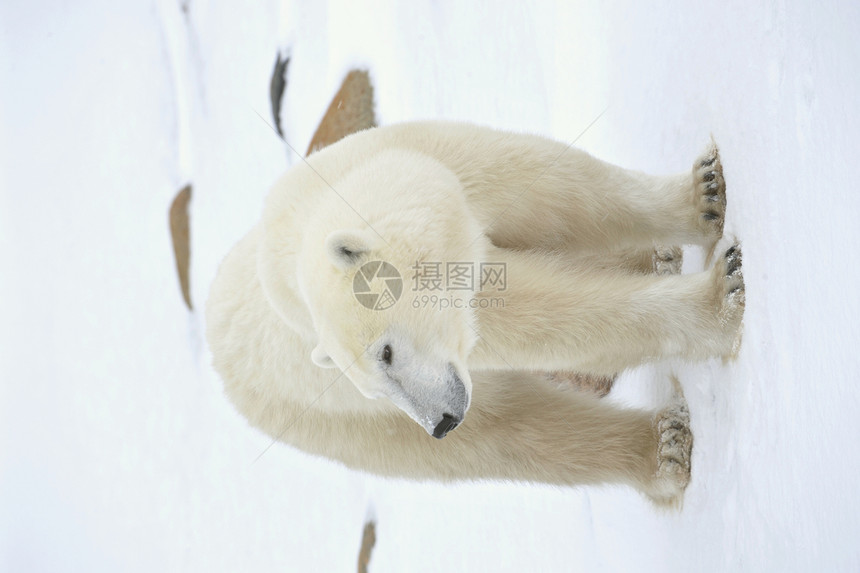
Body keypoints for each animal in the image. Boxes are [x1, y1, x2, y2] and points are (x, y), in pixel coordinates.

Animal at [205, 120, 744, 504]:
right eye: (371, 385)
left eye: (384, 352)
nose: (441, 423)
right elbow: (538, 316)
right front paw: (722, 297)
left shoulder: (440, 163)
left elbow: (559, 194)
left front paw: (706, 193)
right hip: (337, 422)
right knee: (514, 433)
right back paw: (666, 449)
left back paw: (655, 258)